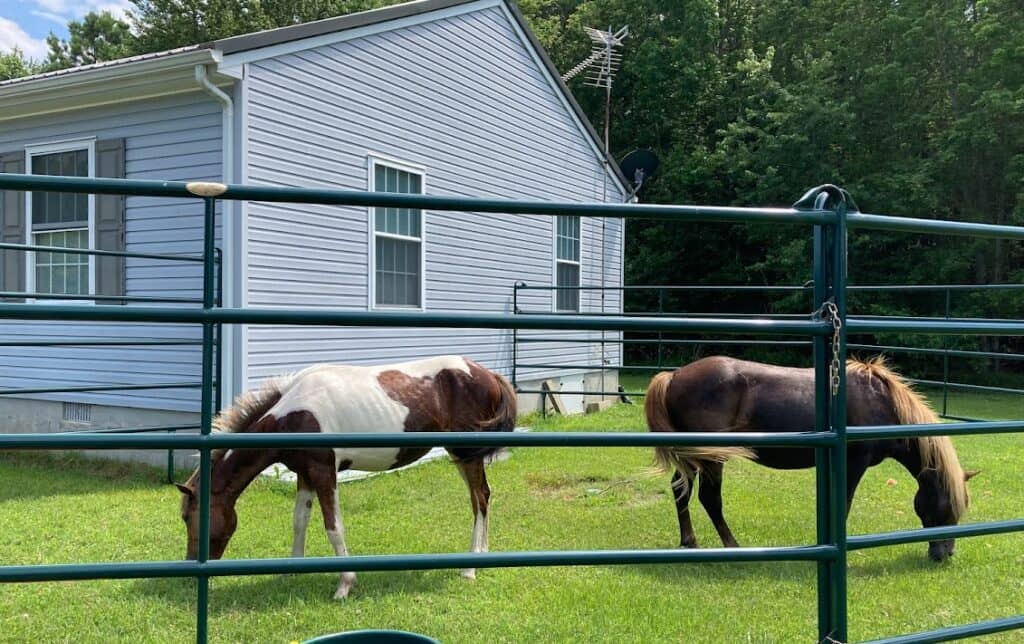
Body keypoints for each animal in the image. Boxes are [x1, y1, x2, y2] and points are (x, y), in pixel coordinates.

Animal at [175, 355, 517, 599]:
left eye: (188, 517)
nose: (191, 567)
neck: (294, 413)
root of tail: (488, 375)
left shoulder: (324, 471)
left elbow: (333, 526)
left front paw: (344, 585)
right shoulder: (305, 474)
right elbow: (299, 520)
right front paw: (289, 571)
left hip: (466, 453)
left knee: (480, 498)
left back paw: (469, 570)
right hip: (461, 455)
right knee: (480, 497)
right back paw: (482, 554)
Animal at [646, 356, 978, 561]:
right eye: (948, 505)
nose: (944, 554)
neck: (882, 403)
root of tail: (674, 375)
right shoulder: (853, 464)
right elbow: (843, 504)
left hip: (693, 457)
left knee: (680, 489)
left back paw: (690, 541)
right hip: (712, 458)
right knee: (710, 498)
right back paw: (732, 546)